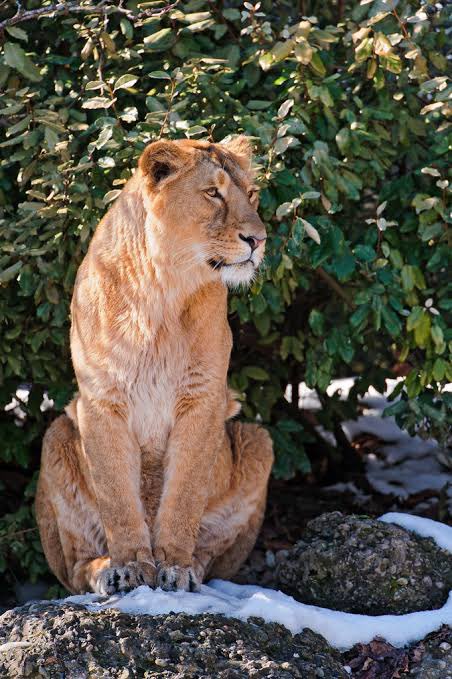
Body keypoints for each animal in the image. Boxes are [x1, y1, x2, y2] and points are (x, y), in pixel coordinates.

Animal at [35, 136, 274, 595]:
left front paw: (175, 567)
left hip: (257, 440)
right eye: (213, 193)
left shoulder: (203, 399)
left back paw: (193, 566)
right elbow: (117, 499)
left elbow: (184, 494)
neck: (163, 291)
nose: (258, 239)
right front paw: (130, 566)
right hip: (55, 436)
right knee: (75, 569)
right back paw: (104, 571)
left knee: (212, 555)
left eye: (252, 194)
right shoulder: (101, 400)